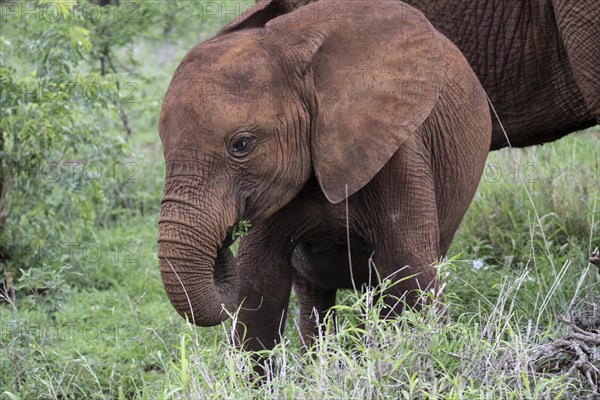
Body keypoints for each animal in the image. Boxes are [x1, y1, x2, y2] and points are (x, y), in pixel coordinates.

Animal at [157, 0, 490, 350]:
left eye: (241, 145)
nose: (225, 239)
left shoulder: (398, 151)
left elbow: (409, 277)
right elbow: (258, 292)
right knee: (313, 297)